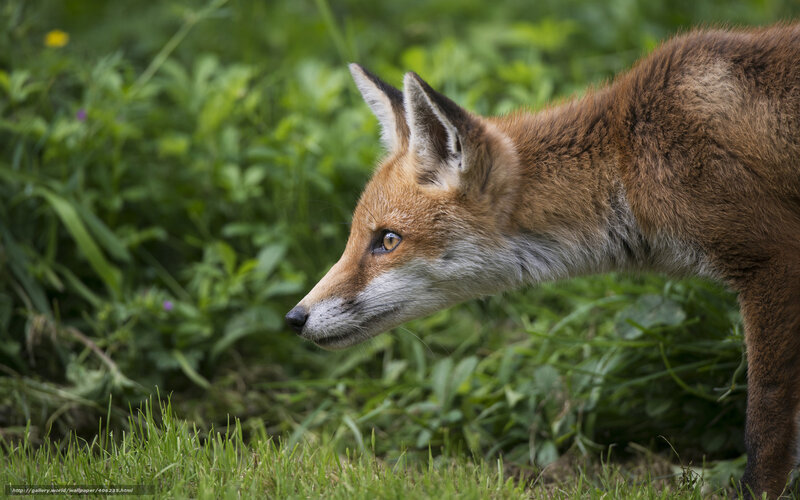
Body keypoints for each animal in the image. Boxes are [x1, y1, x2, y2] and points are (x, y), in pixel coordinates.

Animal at [285, 23, 800, 497]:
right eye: (356, 237)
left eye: (388, 240)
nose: (294, 318)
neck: (628, 157)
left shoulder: (772, 259)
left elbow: (766, 422)